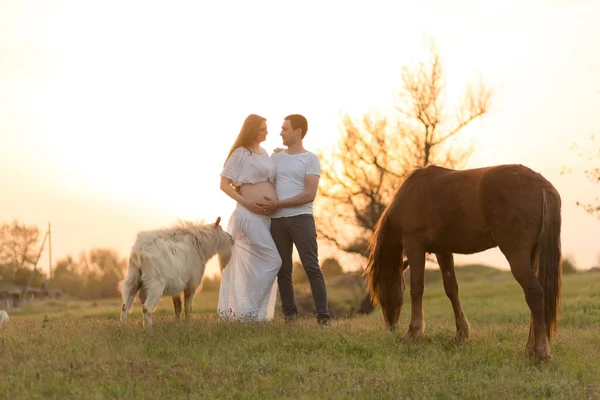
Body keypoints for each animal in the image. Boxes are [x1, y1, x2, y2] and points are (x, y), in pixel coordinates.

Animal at [366, 164, 564, 360]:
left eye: (380, 291)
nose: (390, 326)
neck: (411, 194)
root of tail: (542, 185)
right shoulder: (443, 250)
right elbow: (451, 290)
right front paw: (461, 334)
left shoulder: (414, 245)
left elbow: (417, 289)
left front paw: (412, 334)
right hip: (530, 256)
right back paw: (530, 349)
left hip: (516, 255)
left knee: (535, 293)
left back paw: (540, 353)